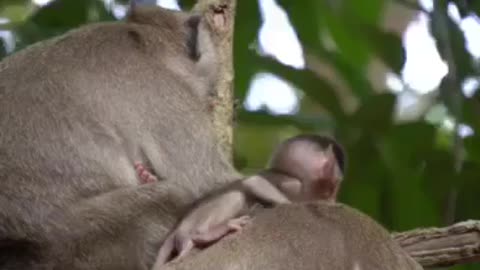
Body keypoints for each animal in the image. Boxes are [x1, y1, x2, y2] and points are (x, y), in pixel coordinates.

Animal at [0, 2, 238, 270]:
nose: (211, 96)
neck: (144, 42)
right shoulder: (161, 90)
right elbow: (212, 183)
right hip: (94, 237)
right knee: (176, 193)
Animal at [154, 135, 344, 266]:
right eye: (334, 183)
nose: (333, 196)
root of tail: (178, 227)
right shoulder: (293, 183)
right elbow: (254, 181)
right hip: (195, 221)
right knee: (235, 196)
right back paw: (207, 233)